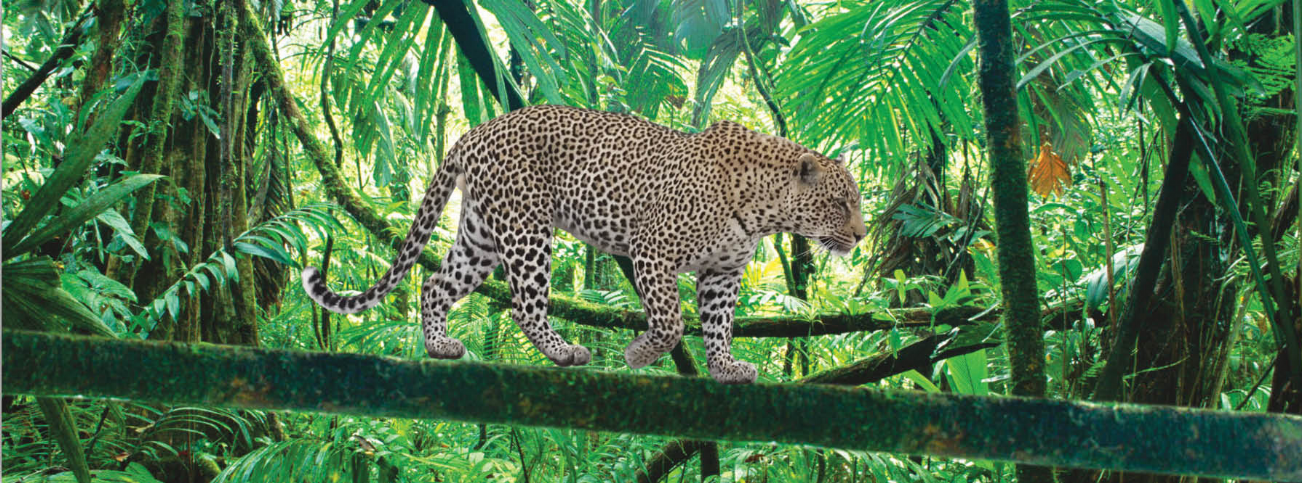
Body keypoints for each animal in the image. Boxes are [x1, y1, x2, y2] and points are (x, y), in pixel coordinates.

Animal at [301, 105, 866, 384]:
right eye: (841, 203)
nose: (861, 236)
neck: (764, 208)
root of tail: (474, 131)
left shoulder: (722, 274)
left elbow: (719, 325)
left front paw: (725, 368)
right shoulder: (652, 248)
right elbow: (670, 321)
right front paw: (639, 354)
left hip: (480, 235)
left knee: (436, 285)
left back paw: (440, 346)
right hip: (526, 228)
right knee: (525, 305)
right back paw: (563, 352)